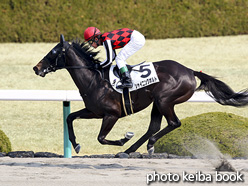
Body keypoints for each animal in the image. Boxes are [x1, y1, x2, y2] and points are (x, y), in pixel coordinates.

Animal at [33, 35, 248, 155]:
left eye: (53, 52)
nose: (36, 68)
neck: (94, 79)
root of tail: (189, 70)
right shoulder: (94, 111)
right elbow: (69, 117)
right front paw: (76, 144)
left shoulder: (112, 114)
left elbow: (101, 138)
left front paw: (123, 139)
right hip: (157, 103)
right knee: (154, 126)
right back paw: (130, 150)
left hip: (165, 100)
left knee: (174, 123)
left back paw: (143, 145)